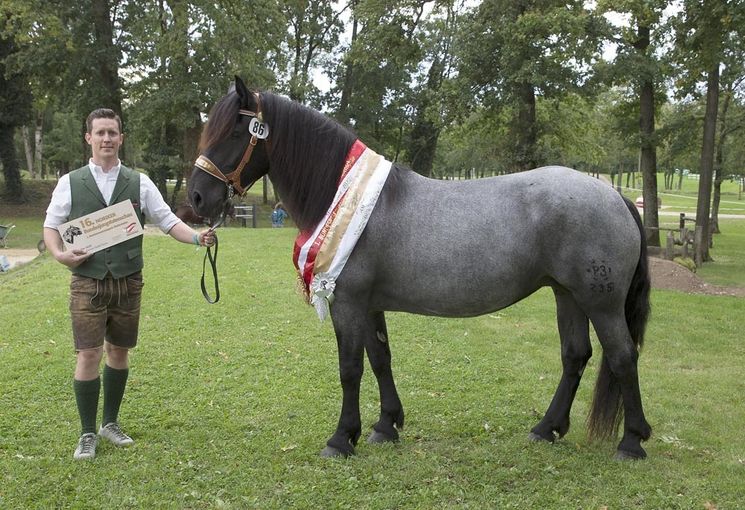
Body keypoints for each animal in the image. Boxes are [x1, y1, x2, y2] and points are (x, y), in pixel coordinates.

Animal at [187, 76, 652, 462]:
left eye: (234, 132)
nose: (196, 198)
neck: (348, 199)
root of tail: (614, 196)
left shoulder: (348, 303)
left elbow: (350, 368)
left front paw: (341, 439)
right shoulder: (369, 305)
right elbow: (380, 359)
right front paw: (385, 425)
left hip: (600, 302)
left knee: (623, 356)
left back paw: (631, 442)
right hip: (566, 294)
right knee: (575, 356)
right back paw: (546, 428)